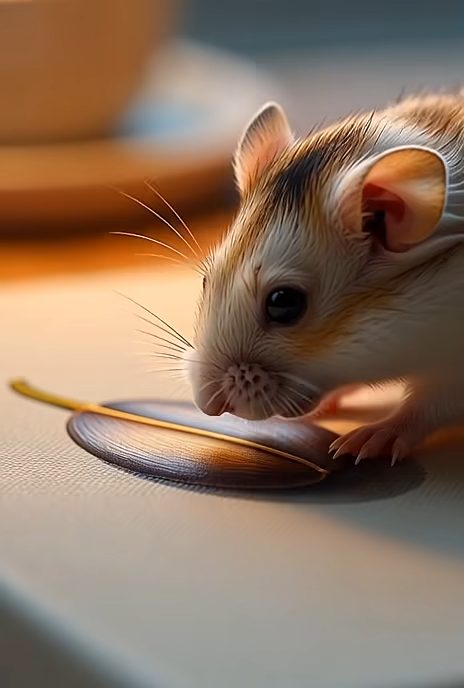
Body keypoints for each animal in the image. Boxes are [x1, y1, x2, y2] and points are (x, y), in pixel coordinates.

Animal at [187, 91, 464, 465]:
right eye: (206, 280)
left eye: (284, 303)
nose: (206, 406)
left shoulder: (452, 372)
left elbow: (424, 407)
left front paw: (362, 442)